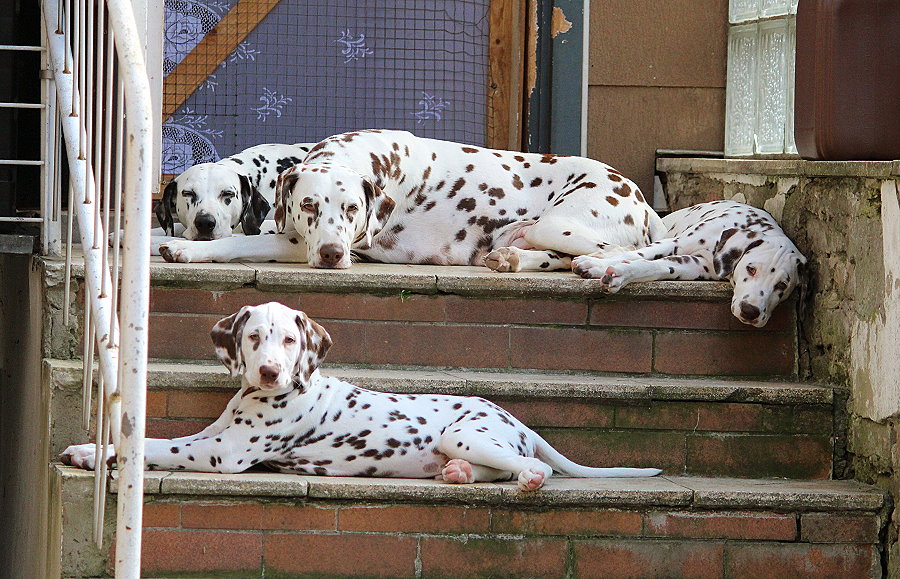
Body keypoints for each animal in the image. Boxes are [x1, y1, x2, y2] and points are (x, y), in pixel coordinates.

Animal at [60, 302, 661, 490]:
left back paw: (528, 477)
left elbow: (152, 445)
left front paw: (89, 451)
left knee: (534, 468)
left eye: (290, 339)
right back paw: (459, 475)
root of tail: (518, 421)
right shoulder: (215, 436)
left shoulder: (220, 453)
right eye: (254, 338)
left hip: (467, 433)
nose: (271, 372)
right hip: (468, 445)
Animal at [571, 200, 807, 327]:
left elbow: (651, 265)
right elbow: (641, 254)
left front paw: (620, 273)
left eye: (782, 286)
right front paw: (595, 265)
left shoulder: (689, 265)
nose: (751, 312)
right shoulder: (677, 243)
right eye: (751, 268)